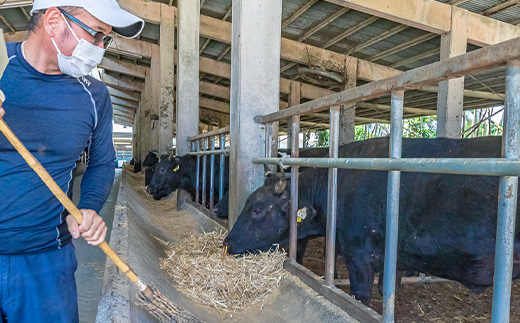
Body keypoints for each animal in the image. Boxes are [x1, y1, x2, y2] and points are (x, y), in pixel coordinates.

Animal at [223, 137, 520, 306]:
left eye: (257, 209)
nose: (227, 243)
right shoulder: (393, 257)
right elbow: (388, 288)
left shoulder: (359, 256)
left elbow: (363, 296)